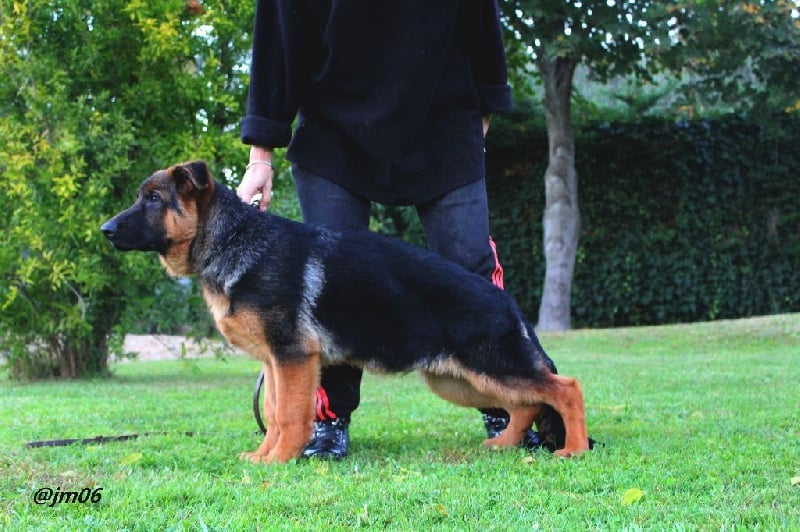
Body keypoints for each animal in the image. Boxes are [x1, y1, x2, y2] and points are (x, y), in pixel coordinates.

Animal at [100, 161, 592, 462]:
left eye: (153, 199)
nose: (105, 230)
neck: (232, 239)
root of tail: (506, 300)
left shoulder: (293, 359)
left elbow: (288, 415)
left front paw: (279, 461)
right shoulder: (276, 364)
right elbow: (274, 414)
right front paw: (264, 455)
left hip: (490, 368)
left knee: (565, 388)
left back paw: (574, 449)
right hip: (460, 380)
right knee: (527, 404)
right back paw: (506, 443)